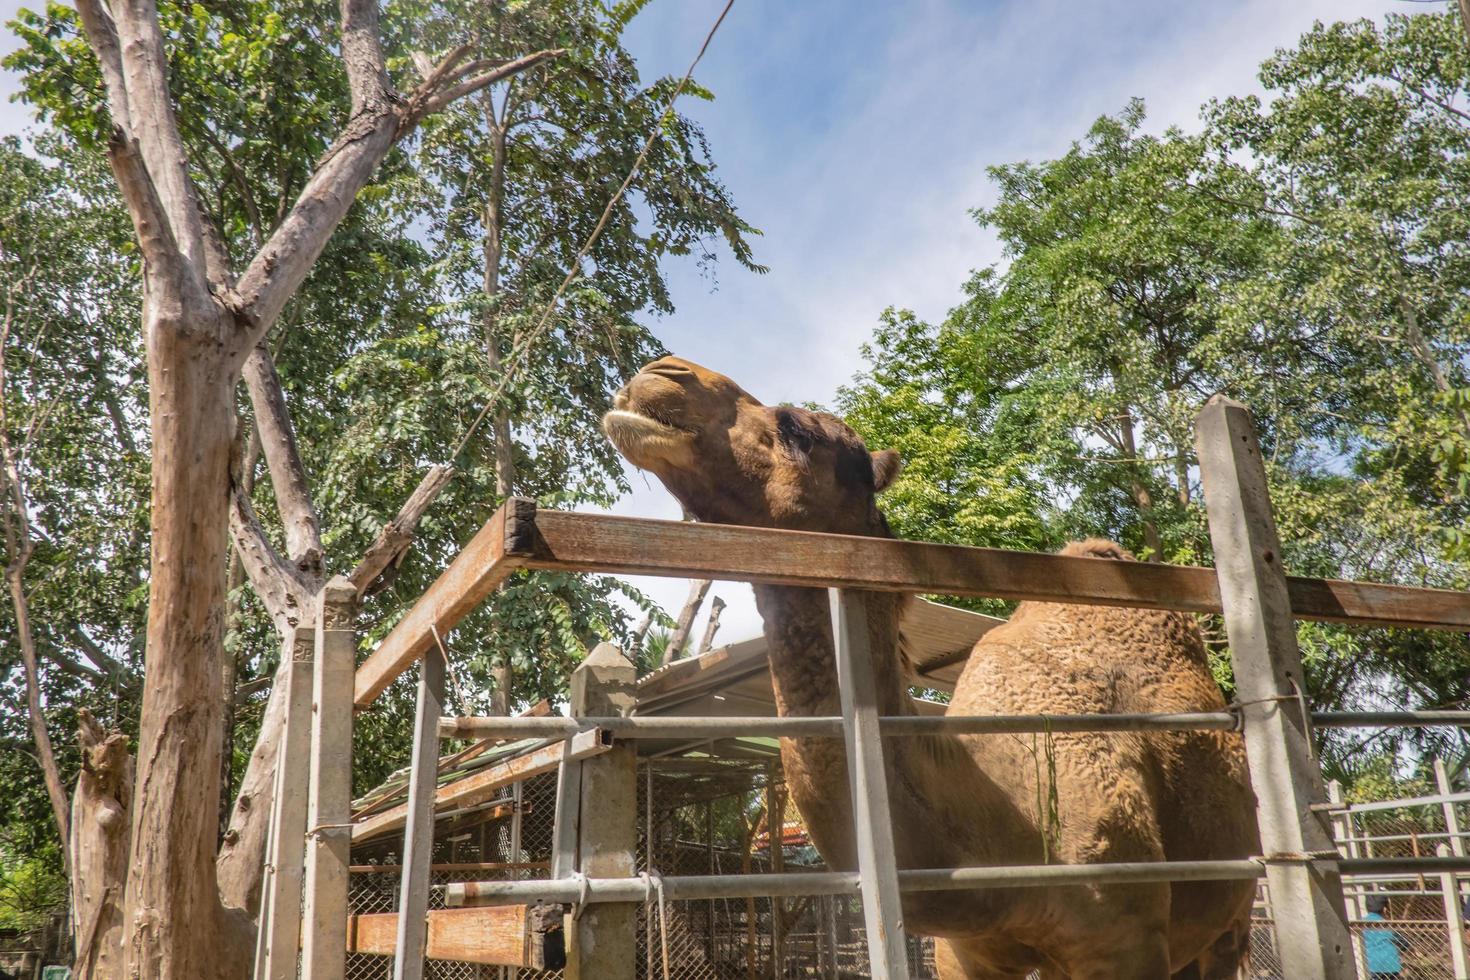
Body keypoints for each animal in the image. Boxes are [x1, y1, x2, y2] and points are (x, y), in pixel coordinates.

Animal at [602, 357, 1258, 975]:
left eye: (798, 429)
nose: (662, 373)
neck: (1005, 818)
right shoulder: (963, 953)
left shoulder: (1123, 938)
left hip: (1231, 916)